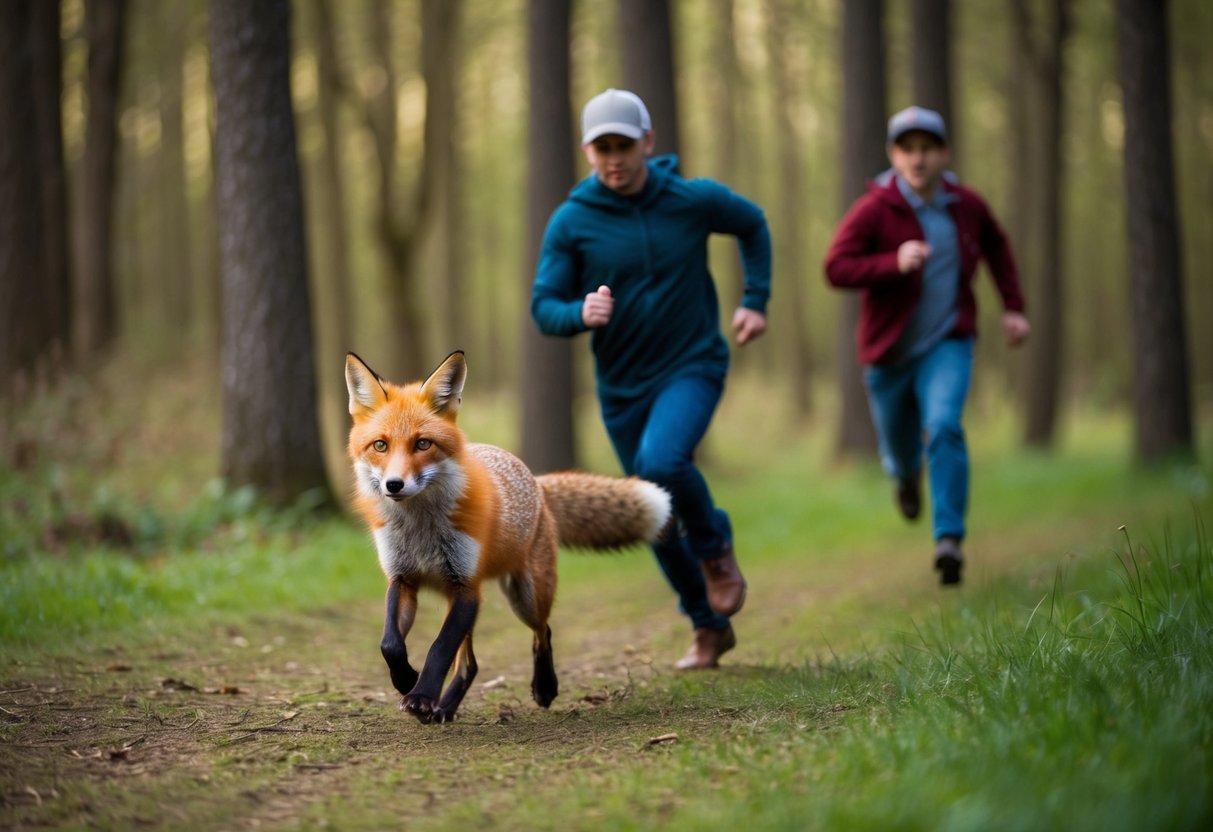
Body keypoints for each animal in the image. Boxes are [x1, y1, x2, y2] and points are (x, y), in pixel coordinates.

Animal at [345, 350, 672, 724]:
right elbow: (390, 644)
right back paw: (445, 708)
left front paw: (422, 696)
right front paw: (406, 681)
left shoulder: (466, 588)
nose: (394, 485)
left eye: (423, 444)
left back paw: (544, 687)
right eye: (380, 445)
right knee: (470, 665)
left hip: (525, 596)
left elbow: (439, 649)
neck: (420, 530)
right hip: (462, 600)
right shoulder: (403, 579)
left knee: (542, 632)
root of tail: (534, 479)